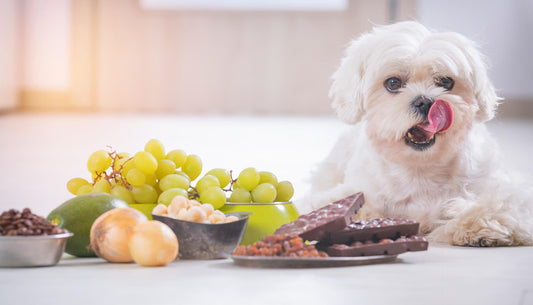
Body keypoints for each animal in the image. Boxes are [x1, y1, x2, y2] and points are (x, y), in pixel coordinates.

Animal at [298, 20, 532, 245]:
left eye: (446, 82)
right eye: (393, 83)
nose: (425, 101)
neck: (419, 168)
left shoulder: (506, 192)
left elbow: (496, 206)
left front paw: (477, 226)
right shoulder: (351, 190)